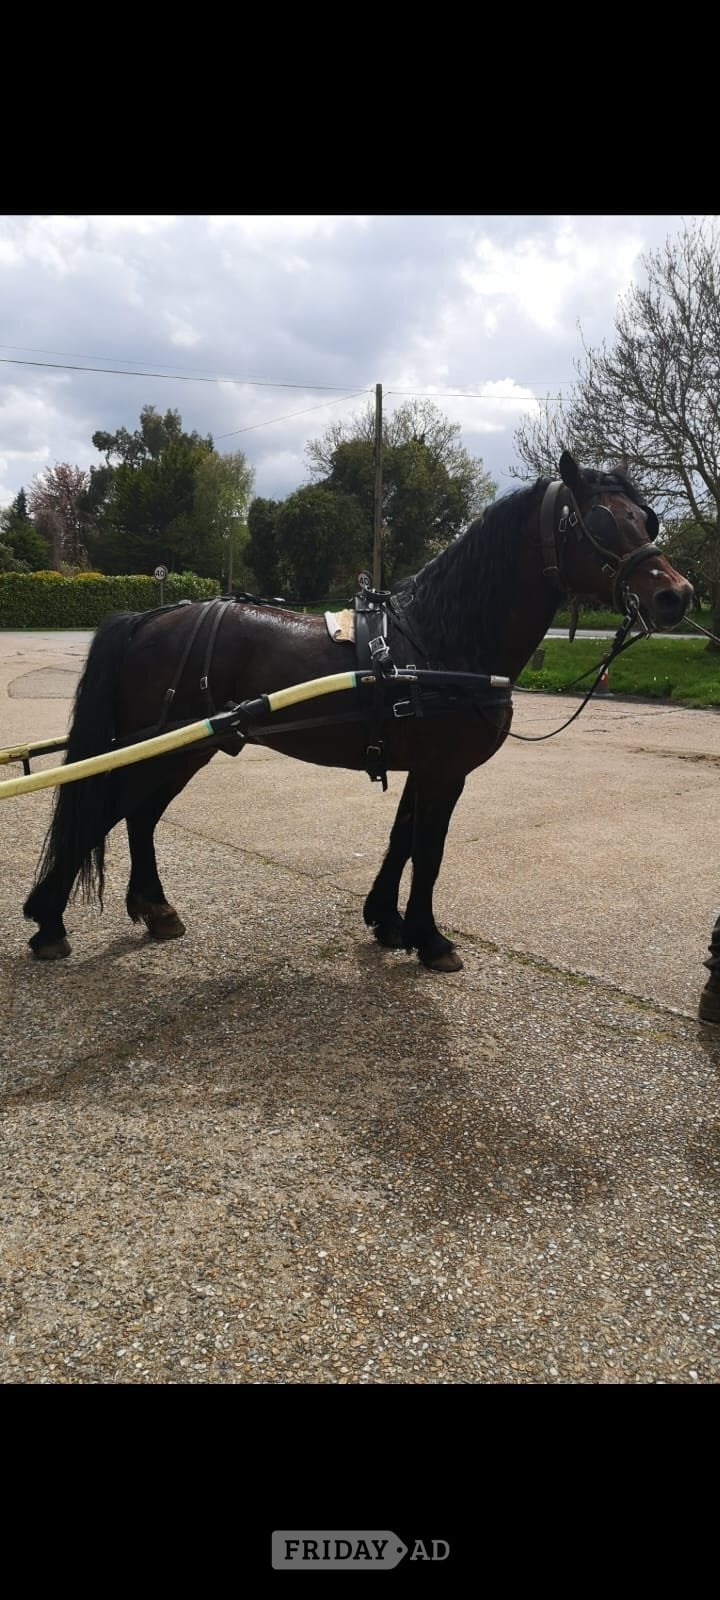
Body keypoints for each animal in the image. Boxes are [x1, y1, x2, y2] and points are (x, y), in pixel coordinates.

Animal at [23, 451, 693, 973]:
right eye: (599, 522)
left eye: (645, 518)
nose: (676, 596)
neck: (439, 639)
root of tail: (150, 617)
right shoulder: (445, 771)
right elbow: (429, 851)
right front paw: (429, 938)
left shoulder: (424, 766)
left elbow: (401, 840)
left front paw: (387, 922)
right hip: (170, 745)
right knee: (105, 814)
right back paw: (49, 922)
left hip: (186, 749)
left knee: (138, 817)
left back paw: (154, 909)